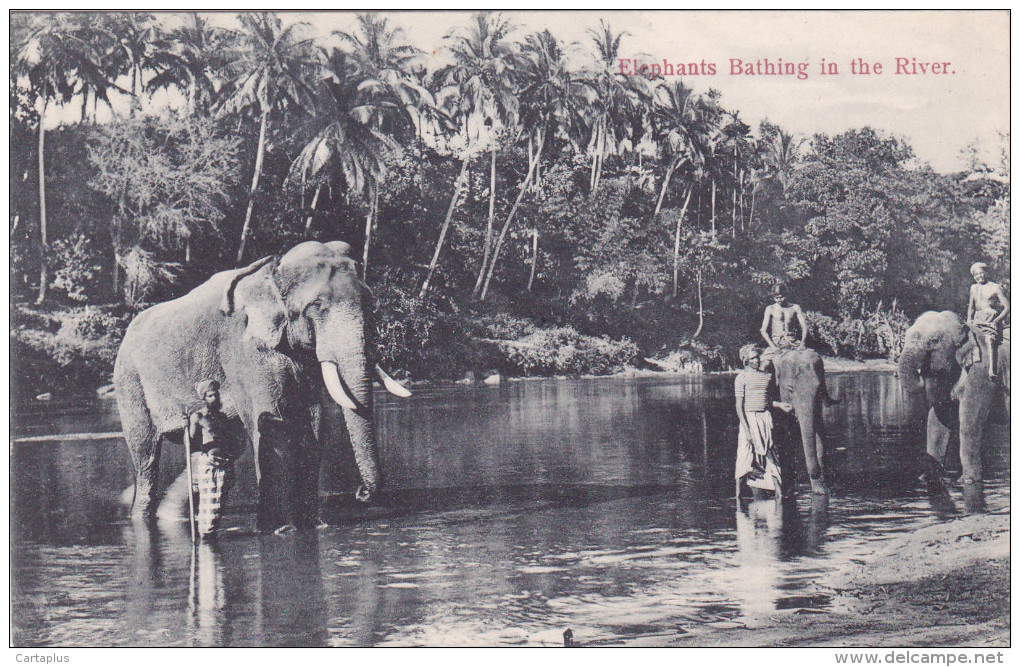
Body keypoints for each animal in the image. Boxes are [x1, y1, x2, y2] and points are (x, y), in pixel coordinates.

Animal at [112, 240, 410, 534]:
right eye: (317, 305)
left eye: (369, 301)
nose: (361, 493)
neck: (273, 273)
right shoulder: (242, 348)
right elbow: (271, 419)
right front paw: (281, 529)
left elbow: (313, 420)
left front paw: (314, 525)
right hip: (129, 382)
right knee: (146, 456)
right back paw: (143, 515)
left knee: (222, 446)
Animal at [897, 310, 1007, 489]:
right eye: (905, 336)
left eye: (934, 340)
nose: (921, 372)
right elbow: (938, 417)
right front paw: (927, 478)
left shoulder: (983, 374)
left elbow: (971, 422)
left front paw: (967, 481)